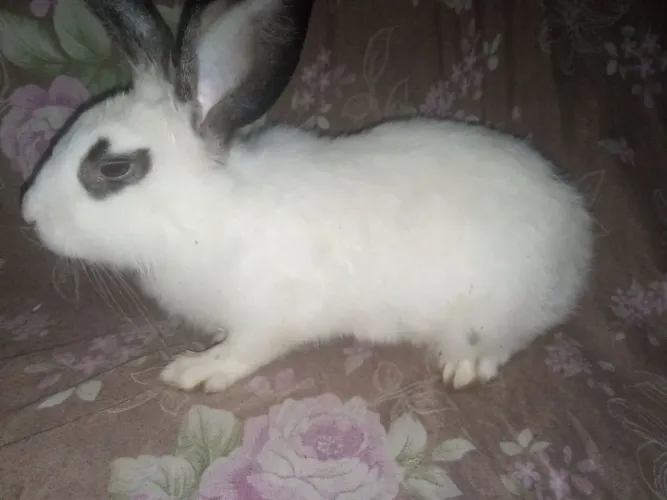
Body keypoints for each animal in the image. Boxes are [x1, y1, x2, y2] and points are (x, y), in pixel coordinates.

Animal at [21, 0, 595, 393]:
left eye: (115, 168)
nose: (28, 216)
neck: (204, 213)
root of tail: (576, 232)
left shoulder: (268, 318)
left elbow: (244, 351)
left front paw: (196, 371)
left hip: (494, 305)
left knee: (503, 338)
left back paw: (464, 366)